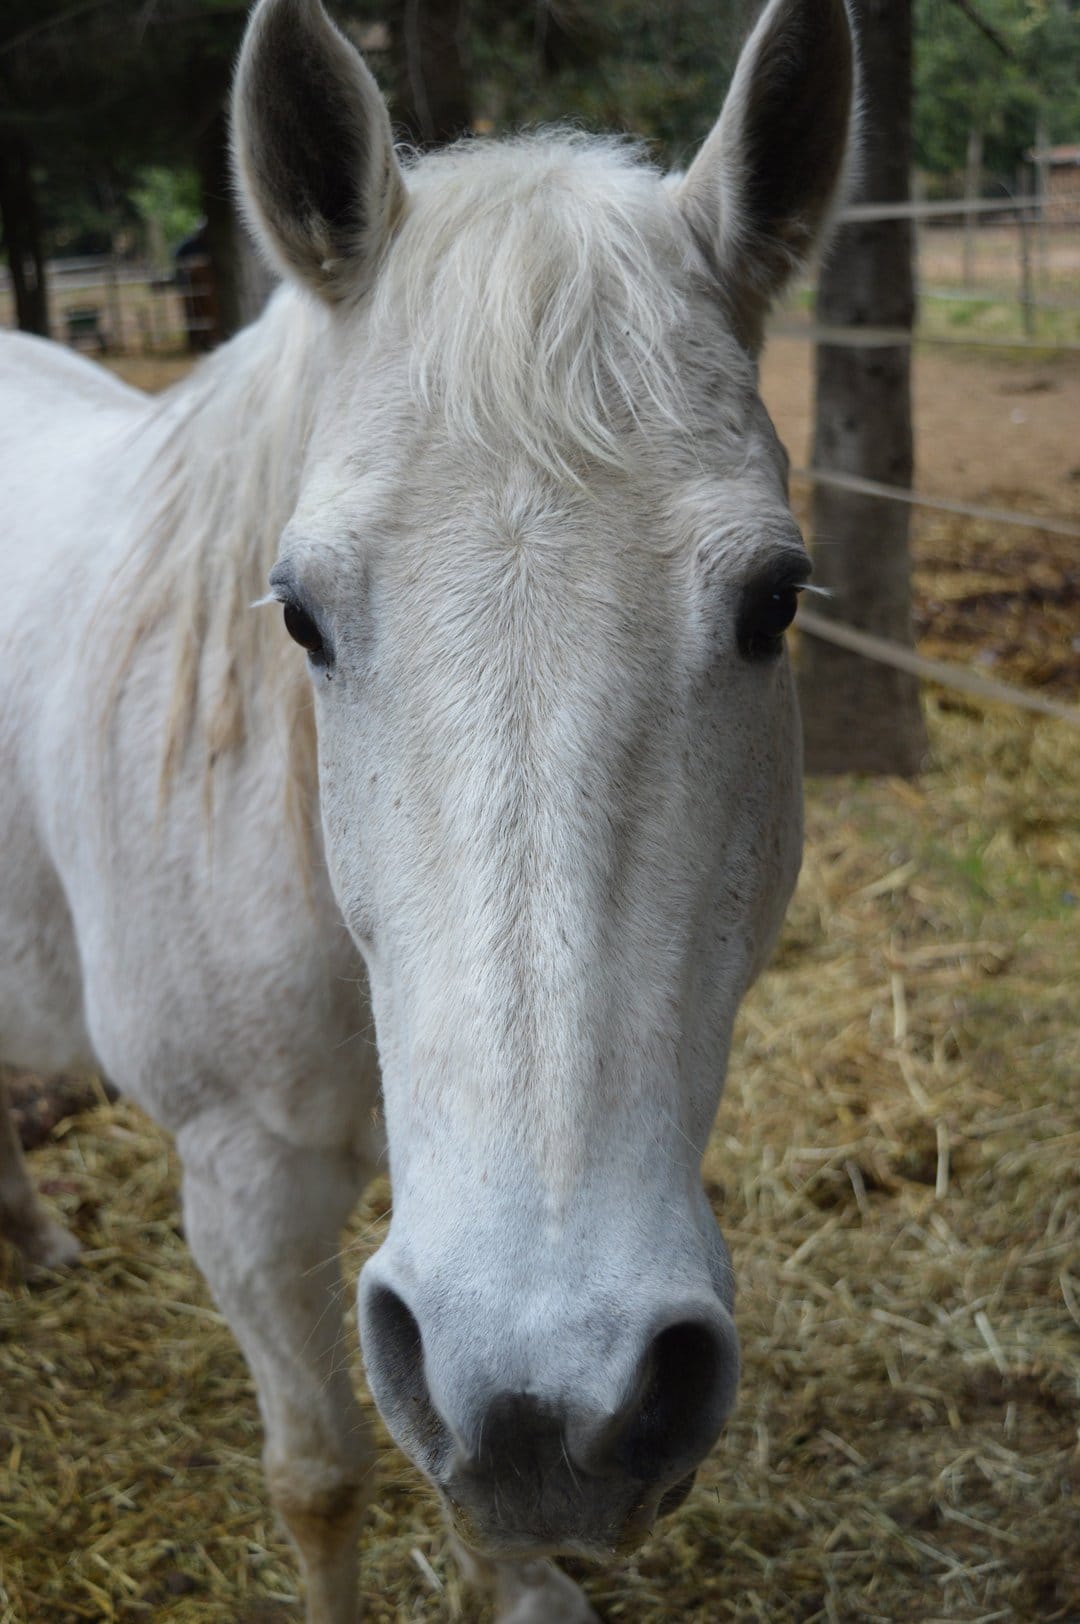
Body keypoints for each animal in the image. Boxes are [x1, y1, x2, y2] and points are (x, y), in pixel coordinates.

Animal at [0, 0, 853, 1617]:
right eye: (299, 614)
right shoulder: (243, 1189)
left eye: (777, 602)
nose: (555, 1402)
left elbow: (468, 1490)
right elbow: (321, 1477)